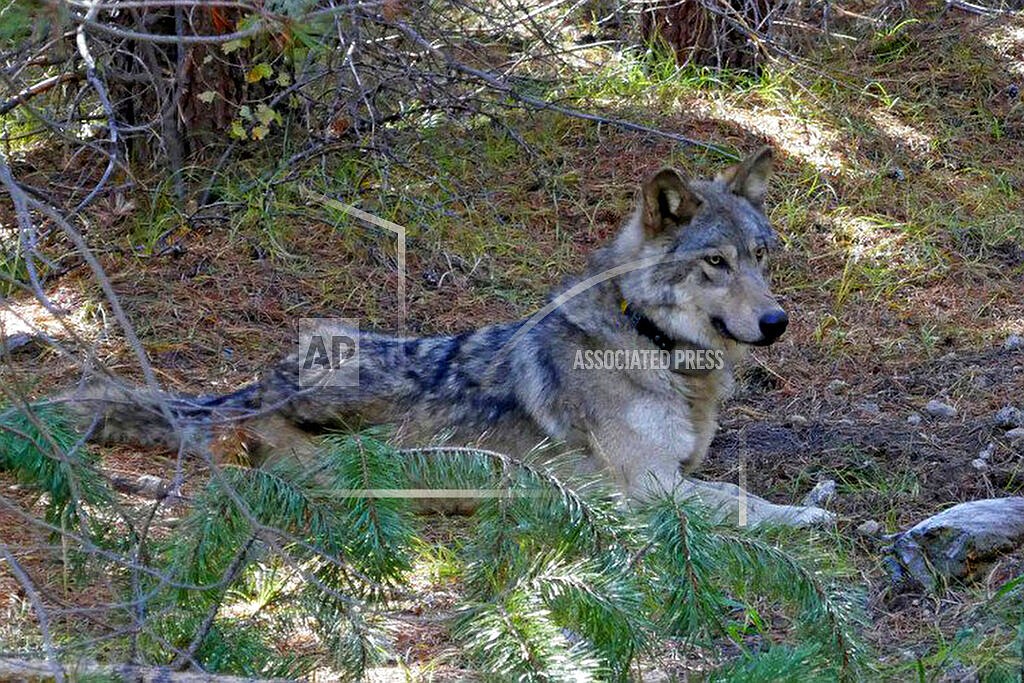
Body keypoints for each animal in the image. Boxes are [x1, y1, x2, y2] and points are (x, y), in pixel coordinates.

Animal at [70, 147, 839, 528]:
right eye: (717, 262)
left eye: (761, 256)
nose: (777, 322)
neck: (651, 345)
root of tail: (253, 387)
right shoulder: (650, 487)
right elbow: (742, 500)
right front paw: (804, 515)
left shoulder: (677, 470)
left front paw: (819, 492)